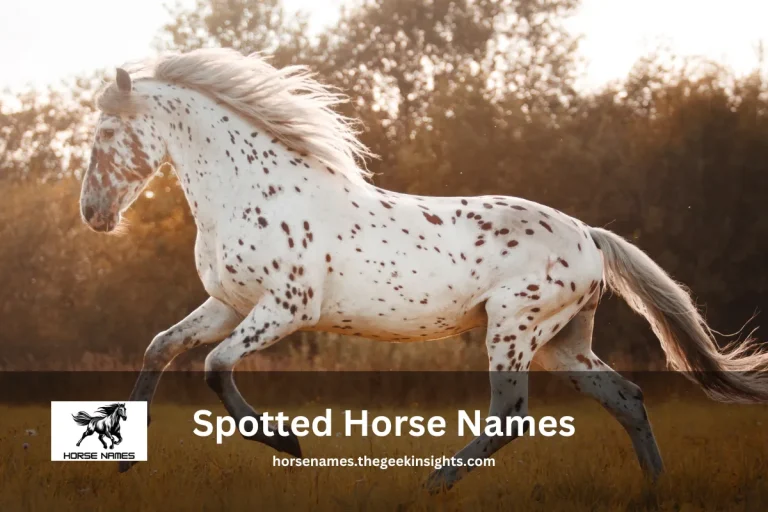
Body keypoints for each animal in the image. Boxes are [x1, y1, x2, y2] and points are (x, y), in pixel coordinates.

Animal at [78, 48, 768, 491]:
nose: (93, 214)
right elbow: (161, 347)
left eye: (107, 132)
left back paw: (436, 482)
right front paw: (125, 459)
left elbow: (215, 368)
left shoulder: (286, 308)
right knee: (626, 397)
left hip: (514, 328)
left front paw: (287, 442)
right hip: (563, 344)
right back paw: (653, 486)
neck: (251, 189)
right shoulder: (230, 305)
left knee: (512, 415)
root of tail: (589, 237)